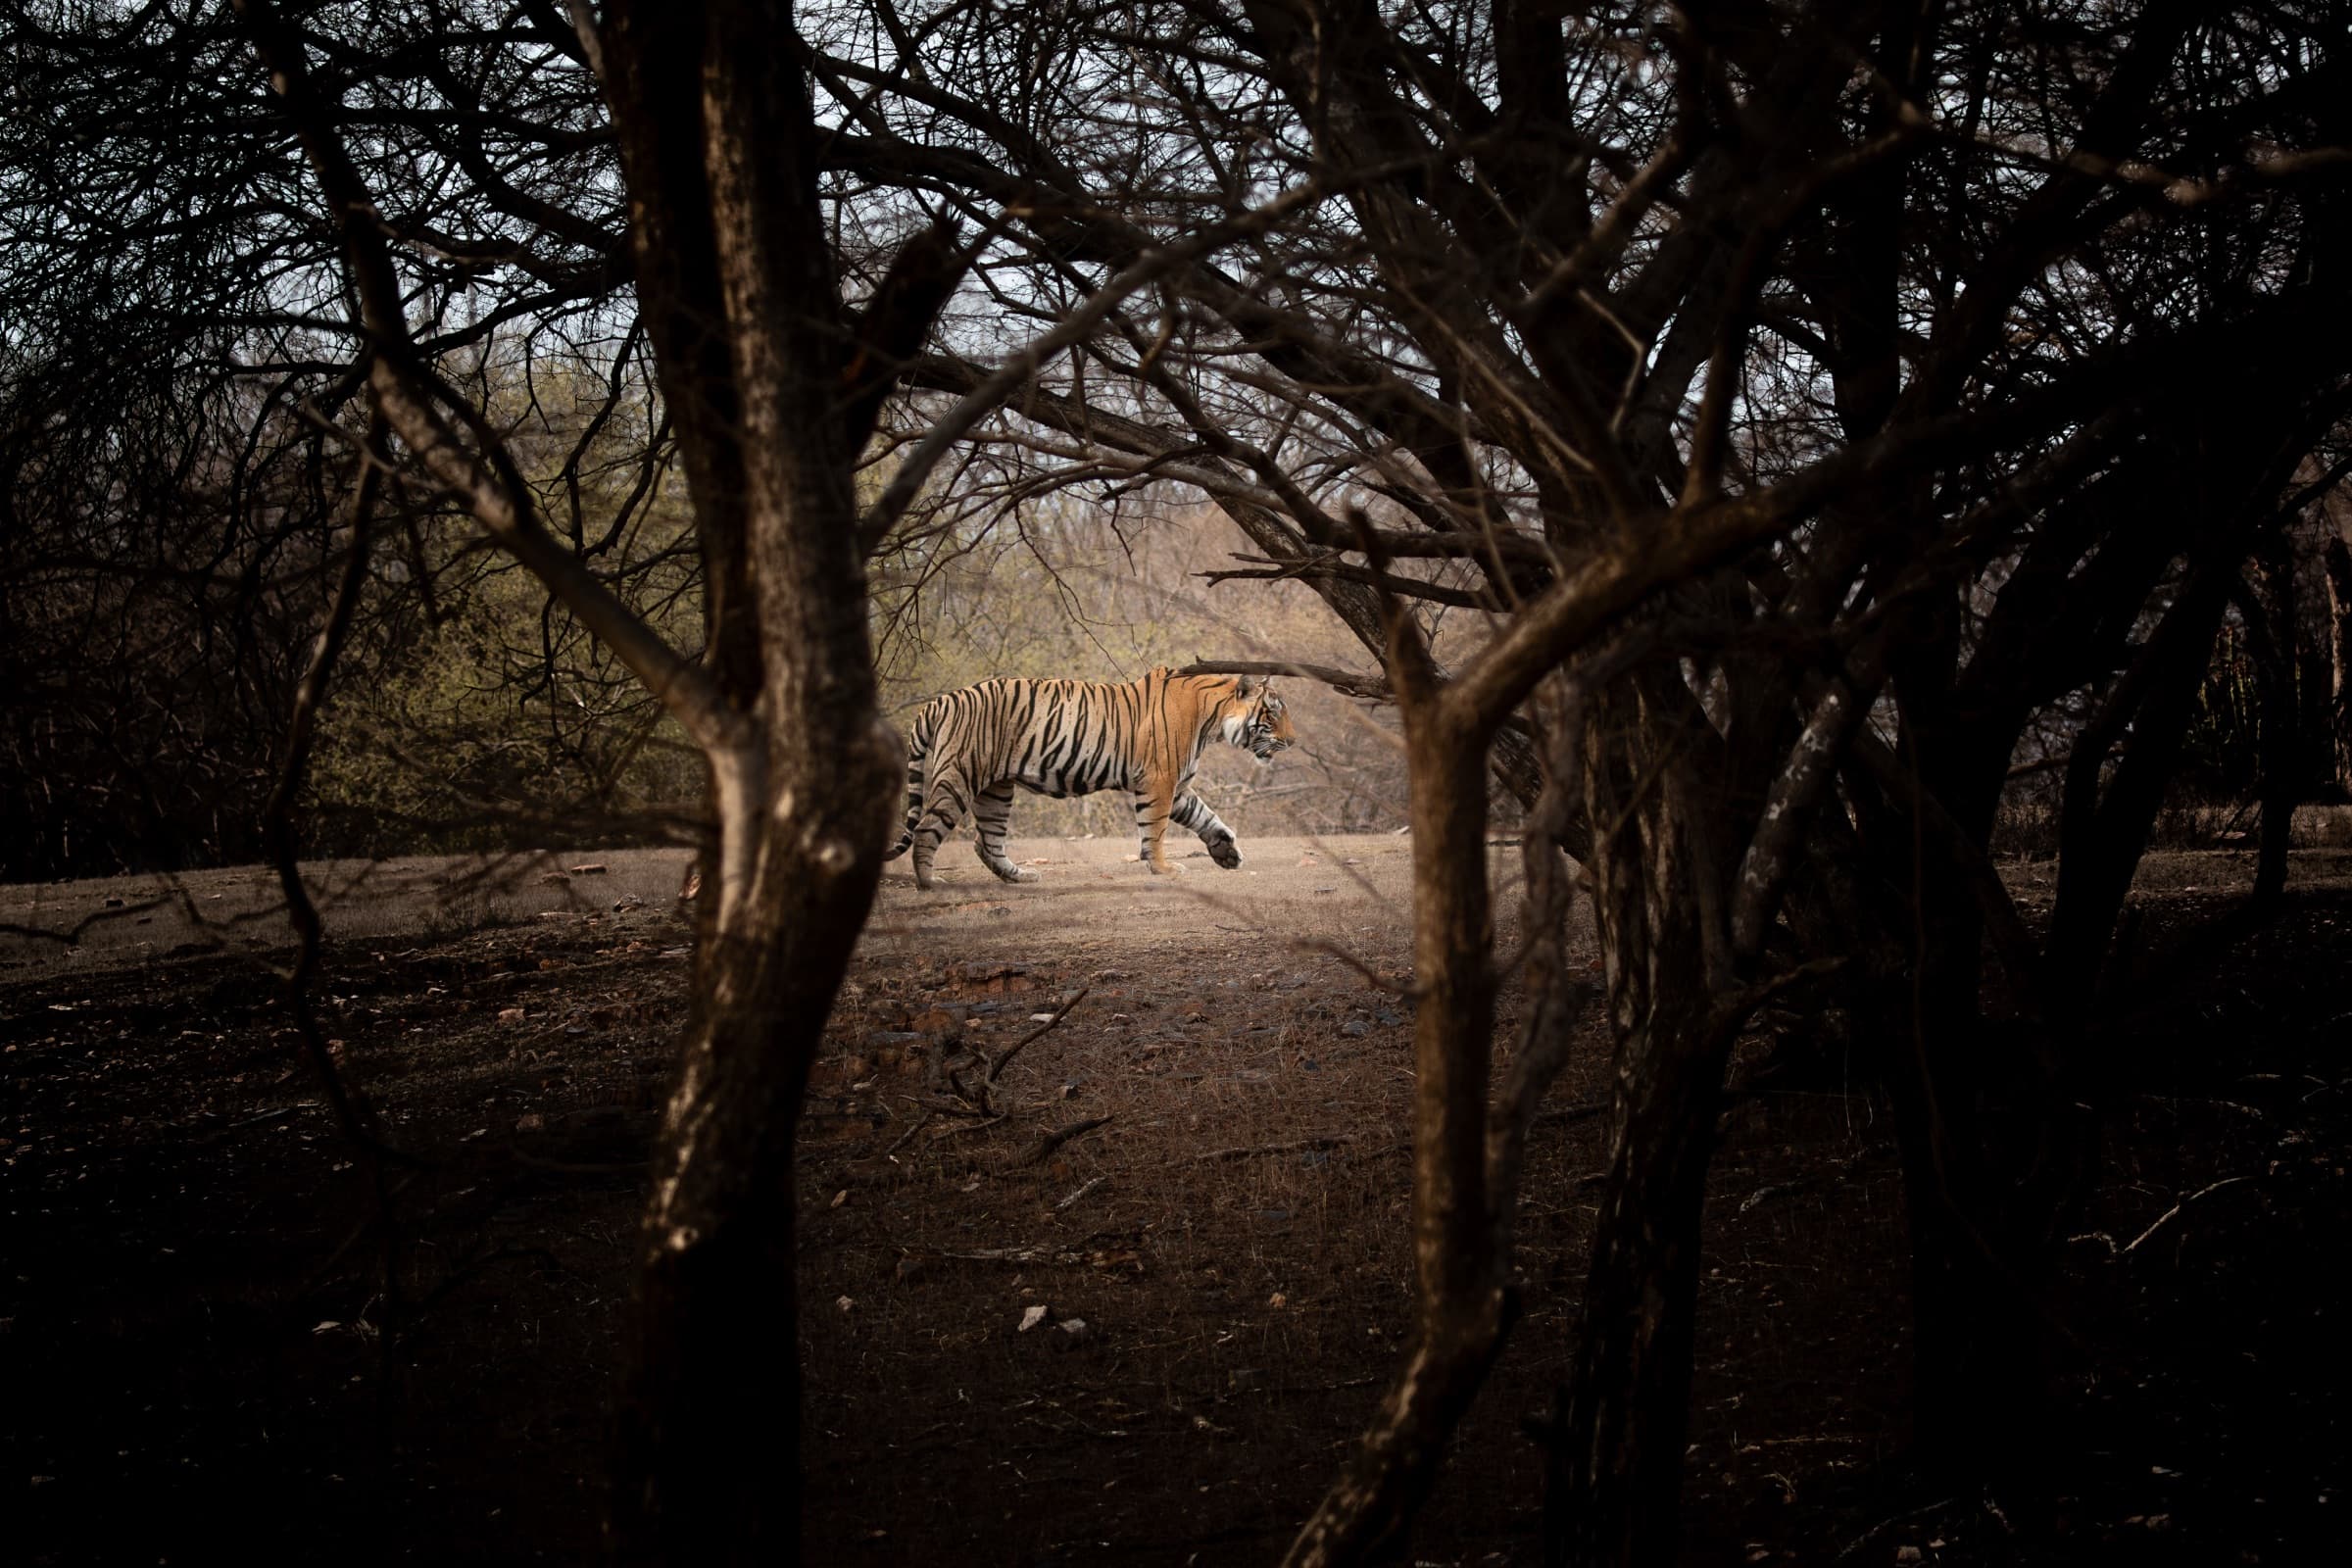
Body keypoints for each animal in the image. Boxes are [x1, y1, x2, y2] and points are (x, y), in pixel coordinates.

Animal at [884, 667, 1293, 889]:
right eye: (1271, 715)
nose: (1292, 741)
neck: (1212, 719)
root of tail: (943, 699)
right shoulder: (1160, 781)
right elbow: (1156, 829)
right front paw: (1163, 868)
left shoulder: (1178, 788)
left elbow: (1206, 818)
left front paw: (1227, 853)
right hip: (959, 776)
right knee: (927, 830)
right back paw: (930, 882)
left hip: (996, 789)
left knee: (986, 842)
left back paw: (1021, 876)